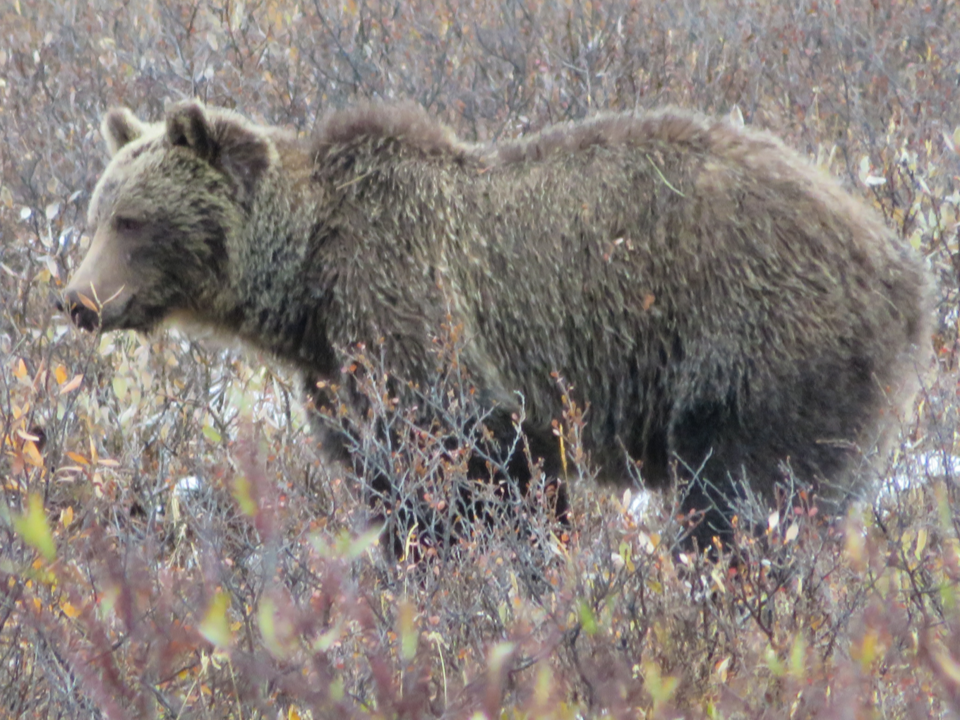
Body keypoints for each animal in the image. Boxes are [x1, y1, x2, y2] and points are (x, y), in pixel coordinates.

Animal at [60, 100, 928, 544]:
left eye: (134, 221)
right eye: (98, 213)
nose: (76, 300)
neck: (306, 287)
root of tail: (901, 264)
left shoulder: (424, 331)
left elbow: (475, 481)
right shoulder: (345, 379)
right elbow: (388, 484)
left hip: (760, 346)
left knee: (744, 498)